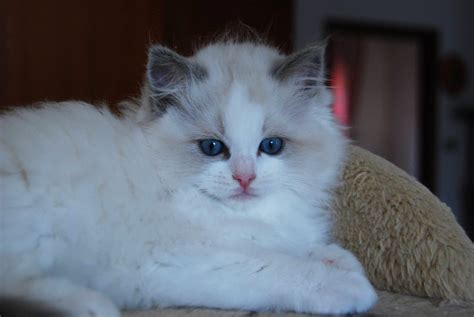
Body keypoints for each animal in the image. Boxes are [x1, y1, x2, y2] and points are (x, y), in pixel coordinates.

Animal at [0, 38, 378, 314]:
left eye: (271, 146)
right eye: (212, 148)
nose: (244, 178)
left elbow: (301, 248)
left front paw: (341, 261)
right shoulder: (177, 259)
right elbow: (279, 267)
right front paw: (350, 286)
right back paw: (91, 305)